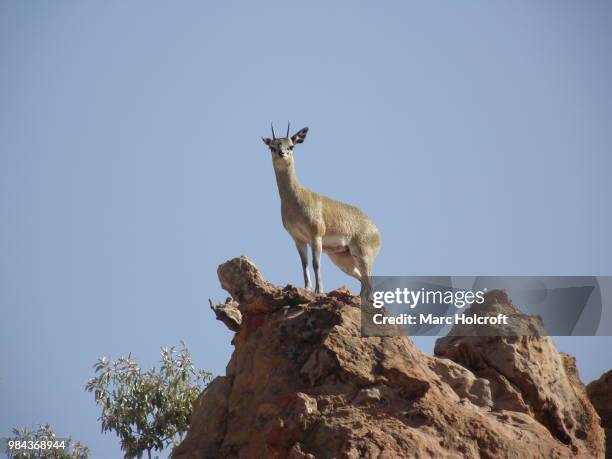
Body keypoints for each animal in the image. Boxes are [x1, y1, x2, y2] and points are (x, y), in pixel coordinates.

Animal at [262, 122, 380, 296]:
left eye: (291, 146)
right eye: (272, 147)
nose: (282, 153)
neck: (295, 198)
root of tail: (376, 230)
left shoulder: (316, 236)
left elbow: (315, 263)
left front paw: (319, 290)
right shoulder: (298, 239)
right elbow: (304, 263)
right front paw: (307, 288)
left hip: (363, 256)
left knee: (370, 283)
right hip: (343, 259)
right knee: (363, 282)